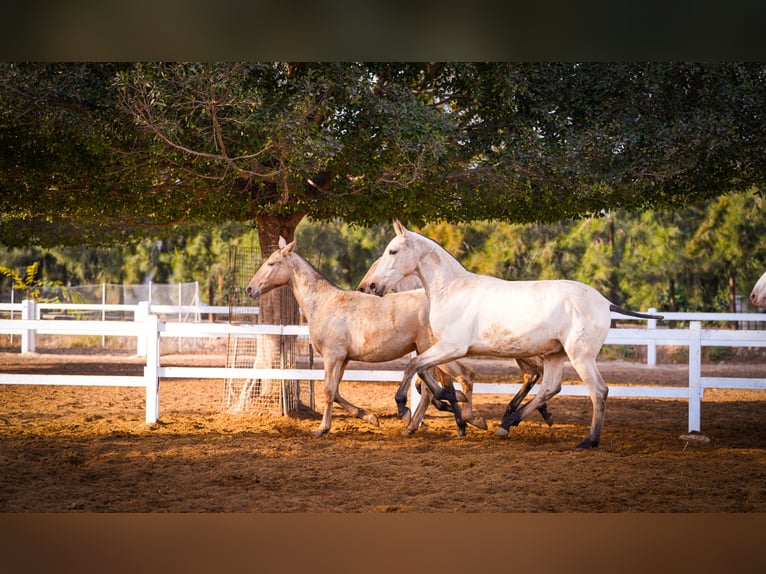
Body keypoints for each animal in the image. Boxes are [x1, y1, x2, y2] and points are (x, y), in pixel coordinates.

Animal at [249, 236, 492, 438]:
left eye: (271, 263)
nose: (250, 289)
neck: (324, 304)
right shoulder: (343, 359)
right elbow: (336, 392)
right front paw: (371, 418)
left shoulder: (332, 356)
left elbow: (328, 391)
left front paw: (321, 429)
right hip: (430, 352)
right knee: (438, 385)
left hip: (433, 350)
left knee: (449, 382)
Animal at [368, 220, 664, 450]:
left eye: (393, 251)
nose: (371, 286)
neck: (452, 290)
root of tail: (606, 302)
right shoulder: (443, 349)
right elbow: (424, 375)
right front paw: (456, 405)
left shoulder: (452, 347)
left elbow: (414, 366)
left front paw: (404, 408)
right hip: (555, 354)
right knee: (550, 387)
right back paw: (507, 423)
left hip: (580, 356)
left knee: (598, 391)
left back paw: (589, 440)